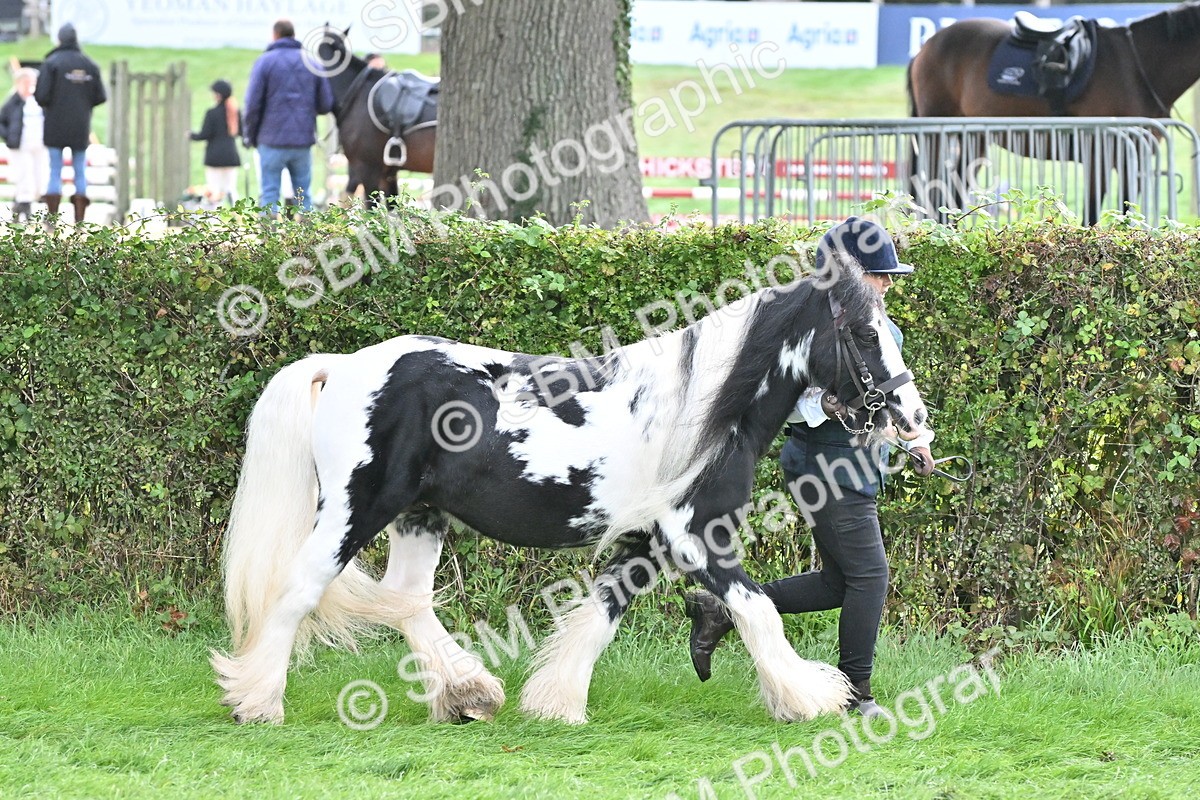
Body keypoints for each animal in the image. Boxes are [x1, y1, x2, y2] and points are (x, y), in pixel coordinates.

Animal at [209, 250, 930, 727]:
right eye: (865, 333)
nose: (914, 419)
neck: (700, 411)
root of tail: (343, 367)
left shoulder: (647, 542)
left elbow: (599, 616)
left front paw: (557, 703)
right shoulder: (695, 535)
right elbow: (759, 610)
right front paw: (812, 697)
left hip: (420, 515)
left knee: (408, 601)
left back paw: (468, 695)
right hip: (354, 510)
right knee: (299, 590)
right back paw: (256, 702)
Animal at [907, 1, 1200, 223]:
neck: (1136, 68)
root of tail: (926, 47)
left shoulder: (1132, 156)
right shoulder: (1100, 153)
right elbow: (1093, 212)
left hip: (973, 138)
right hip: (936, 133)